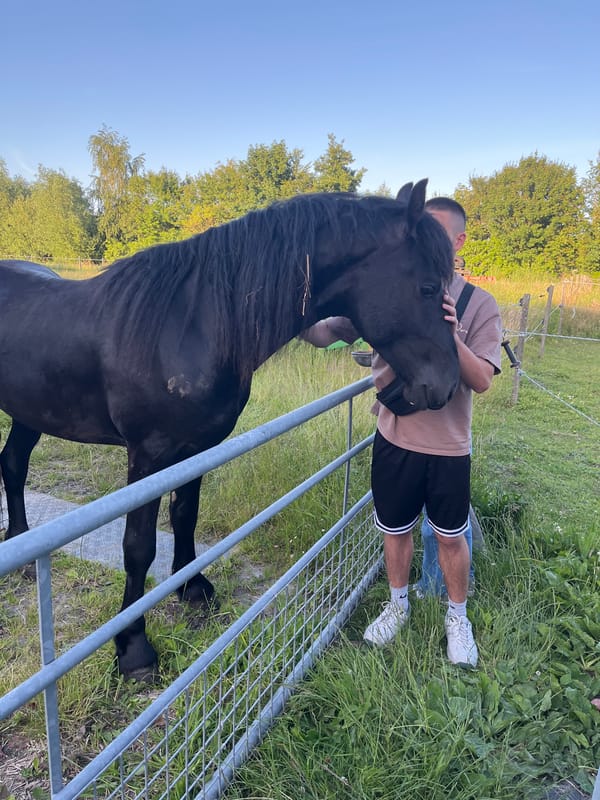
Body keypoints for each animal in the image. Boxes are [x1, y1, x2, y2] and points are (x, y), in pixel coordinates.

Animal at [0, 179, 459, 680]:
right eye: (428, 287)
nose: (447, 385)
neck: (187, 325)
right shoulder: (147, 457)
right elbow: (138, 547)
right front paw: (134, 649)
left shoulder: (195, 450)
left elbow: (185, 515)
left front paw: (192, 588)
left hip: (30, 414)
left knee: (14, 464)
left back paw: (20, 548)